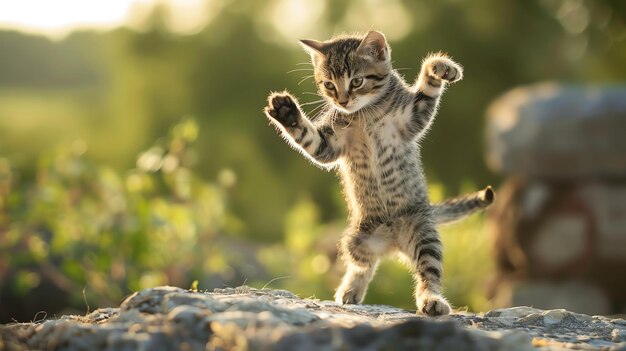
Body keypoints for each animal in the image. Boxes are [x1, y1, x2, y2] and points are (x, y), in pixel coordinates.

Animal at [260, 31, 490, 316]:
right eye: (329, 85)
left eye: (356, 81)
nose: (342, 101)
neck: (364, 114)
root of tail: (392, 241)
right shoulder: (329, 145)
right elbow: (309, 138)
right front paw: (287, 113)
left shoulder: (411, 119)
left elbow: (428, 89)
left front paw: (441, 68)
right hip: (355, 240)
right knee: (364, 264)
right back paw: (351, 289)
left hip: (423, 231)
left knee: (428, 271)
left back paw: (432, 301)